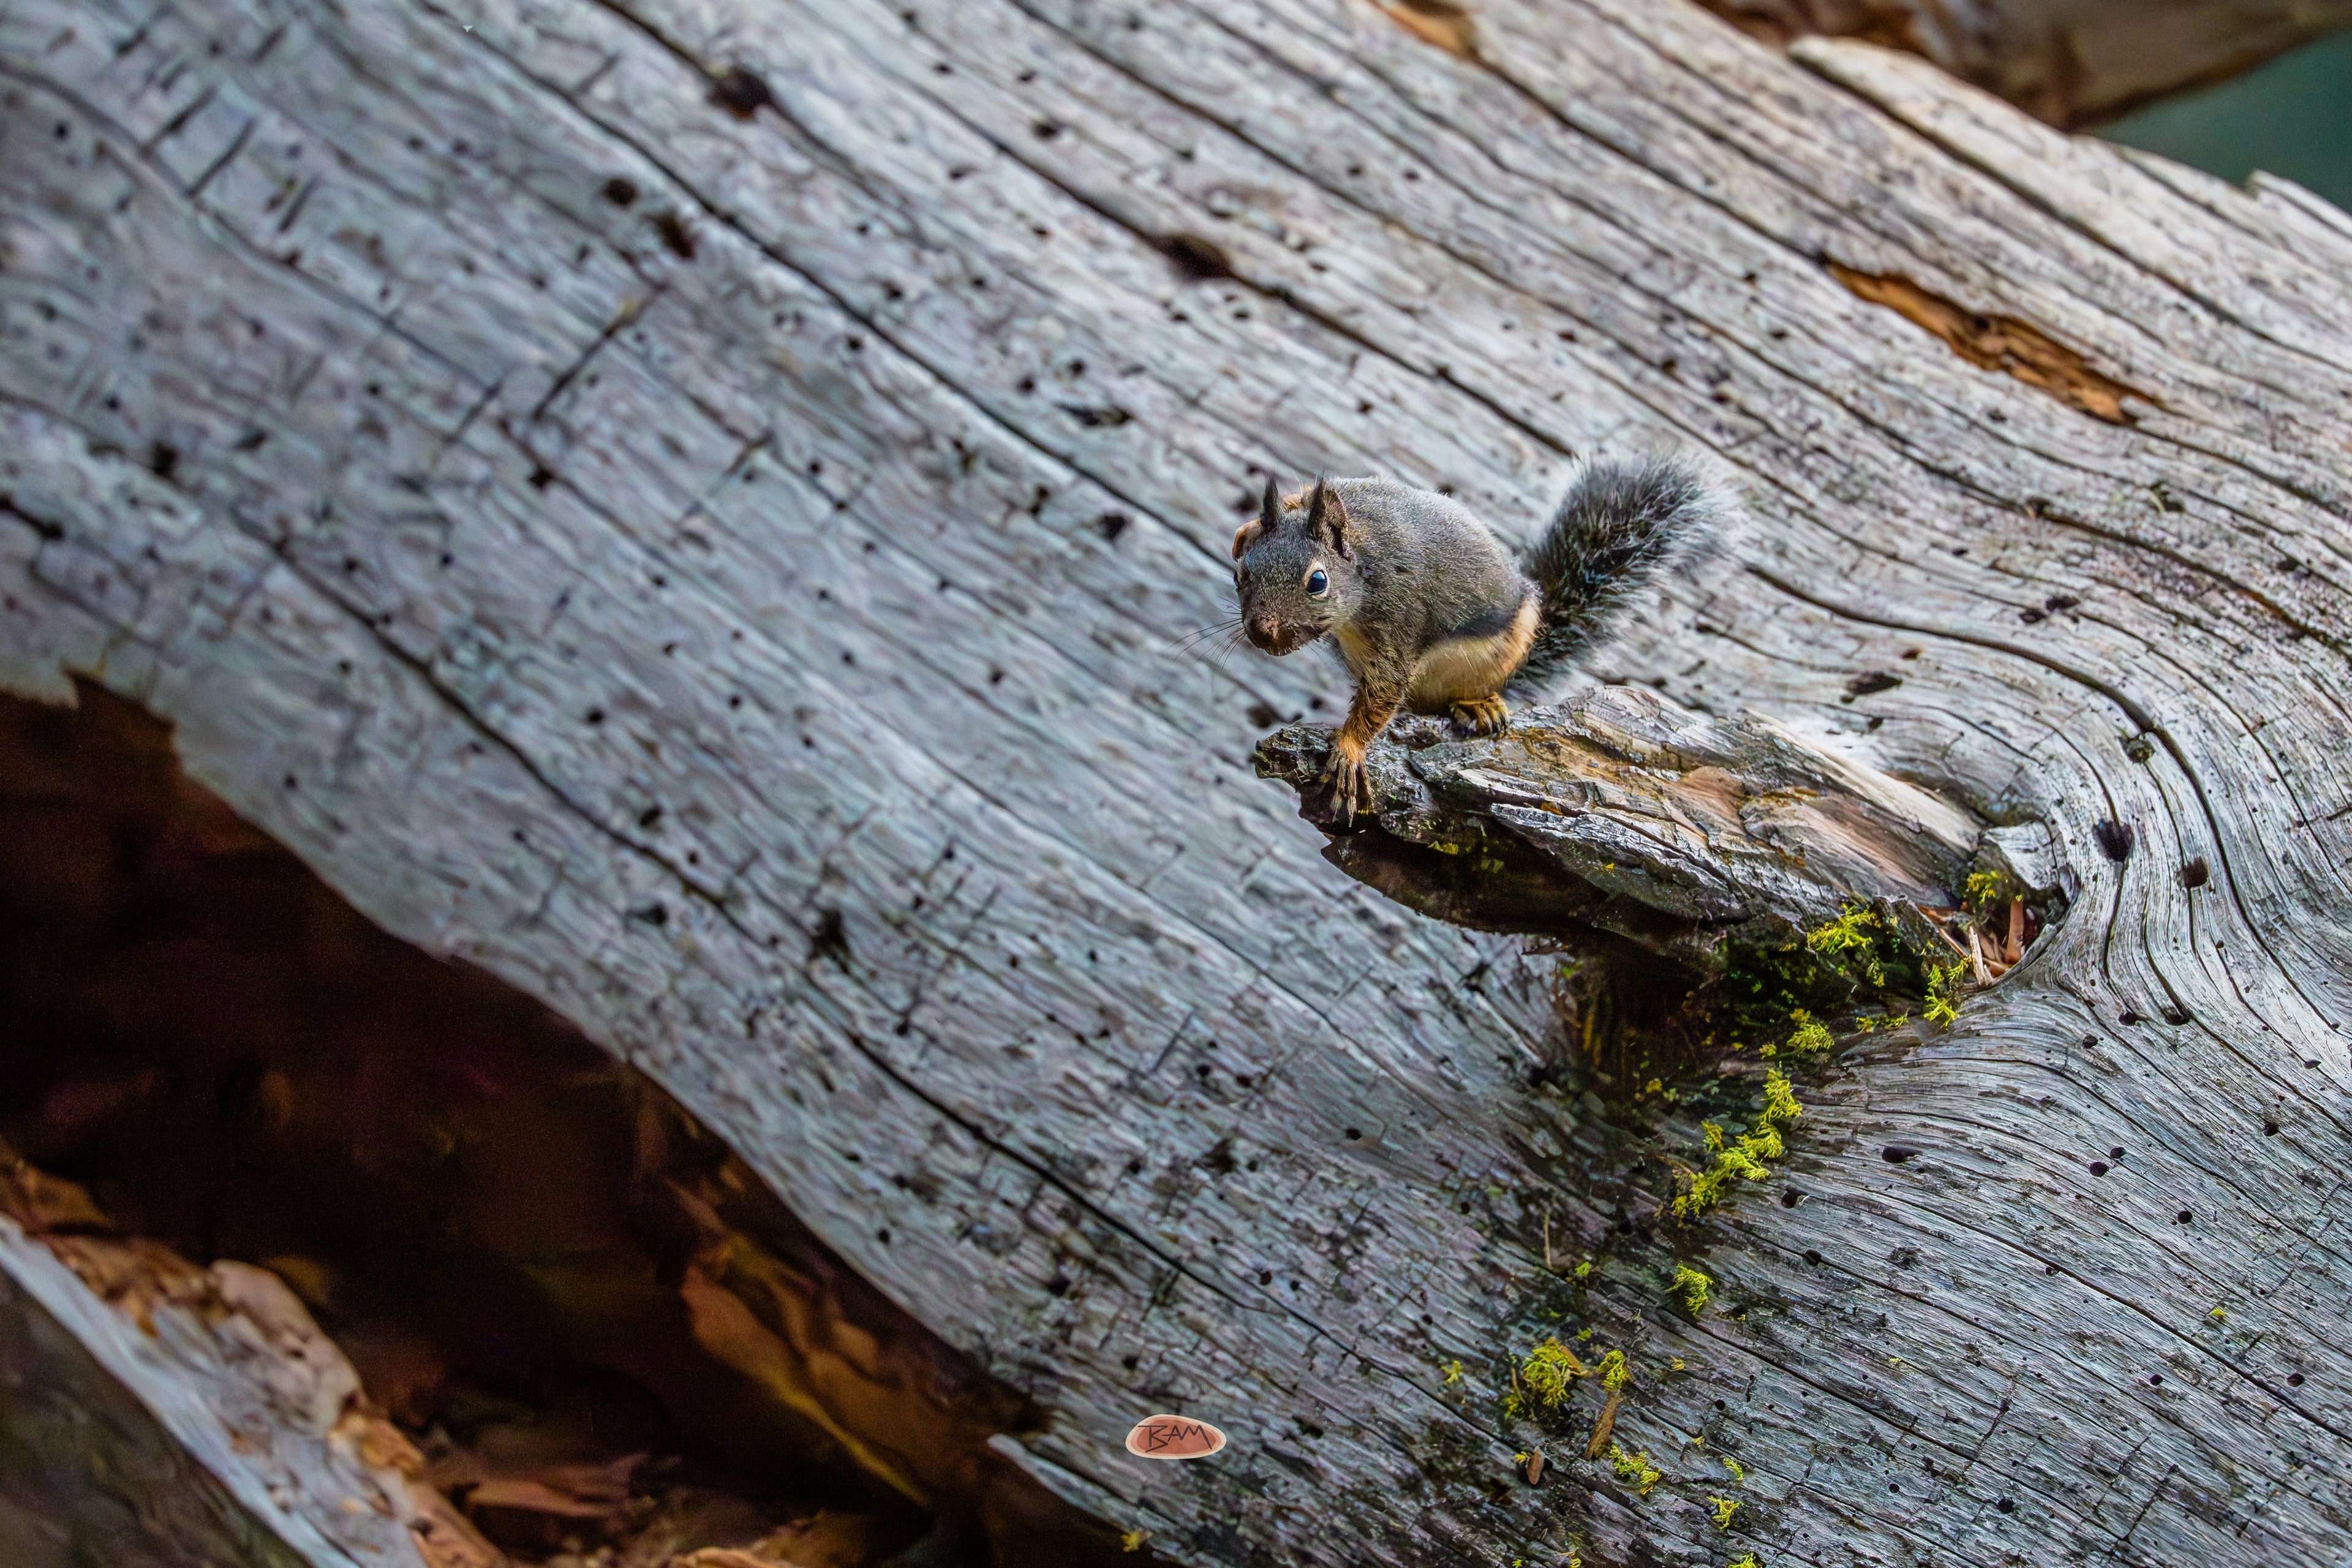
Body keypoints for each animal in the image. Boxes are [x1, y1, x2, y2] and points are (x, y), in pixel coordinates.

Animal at [1230, 457, 1727, 822]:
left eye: (1317, 581)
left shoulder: (1399, 620)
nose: (1262, 631)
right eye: (1242, 574)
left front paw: (1350, 751)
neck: (1367, 555)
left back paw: (1478, 705)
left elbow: (1384, 694)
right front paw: (1246, 530)